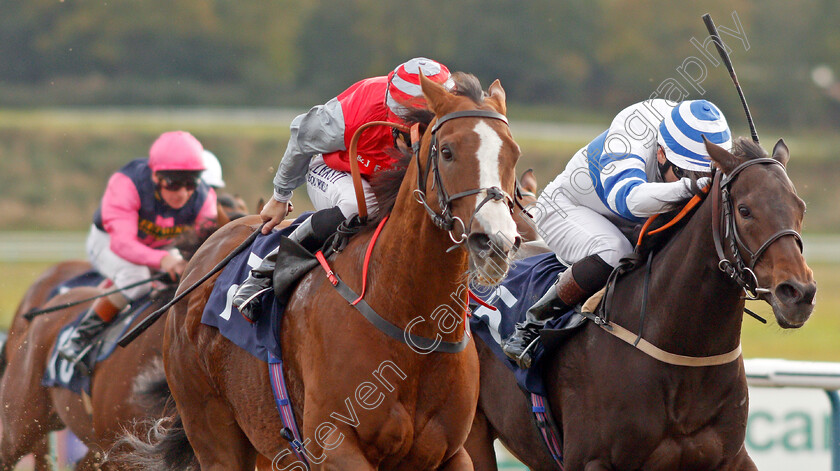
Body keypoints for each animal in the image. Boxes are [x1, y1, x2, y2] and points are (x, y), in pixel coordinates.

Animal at [131, 72, 520, 470]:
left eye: (513, 153)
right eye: (447, 151)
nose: (496, 241)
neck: (409, 320)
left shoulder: (451, 453)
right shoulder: (333, 444)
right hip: (213, 431)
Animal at [466, 138, 812, 470]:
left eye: (801, 207)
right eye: (744, 210)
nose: (798, 293)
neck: (684, 357)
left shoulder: (732, 457)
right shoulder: (591, 459)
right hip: (473, 436)